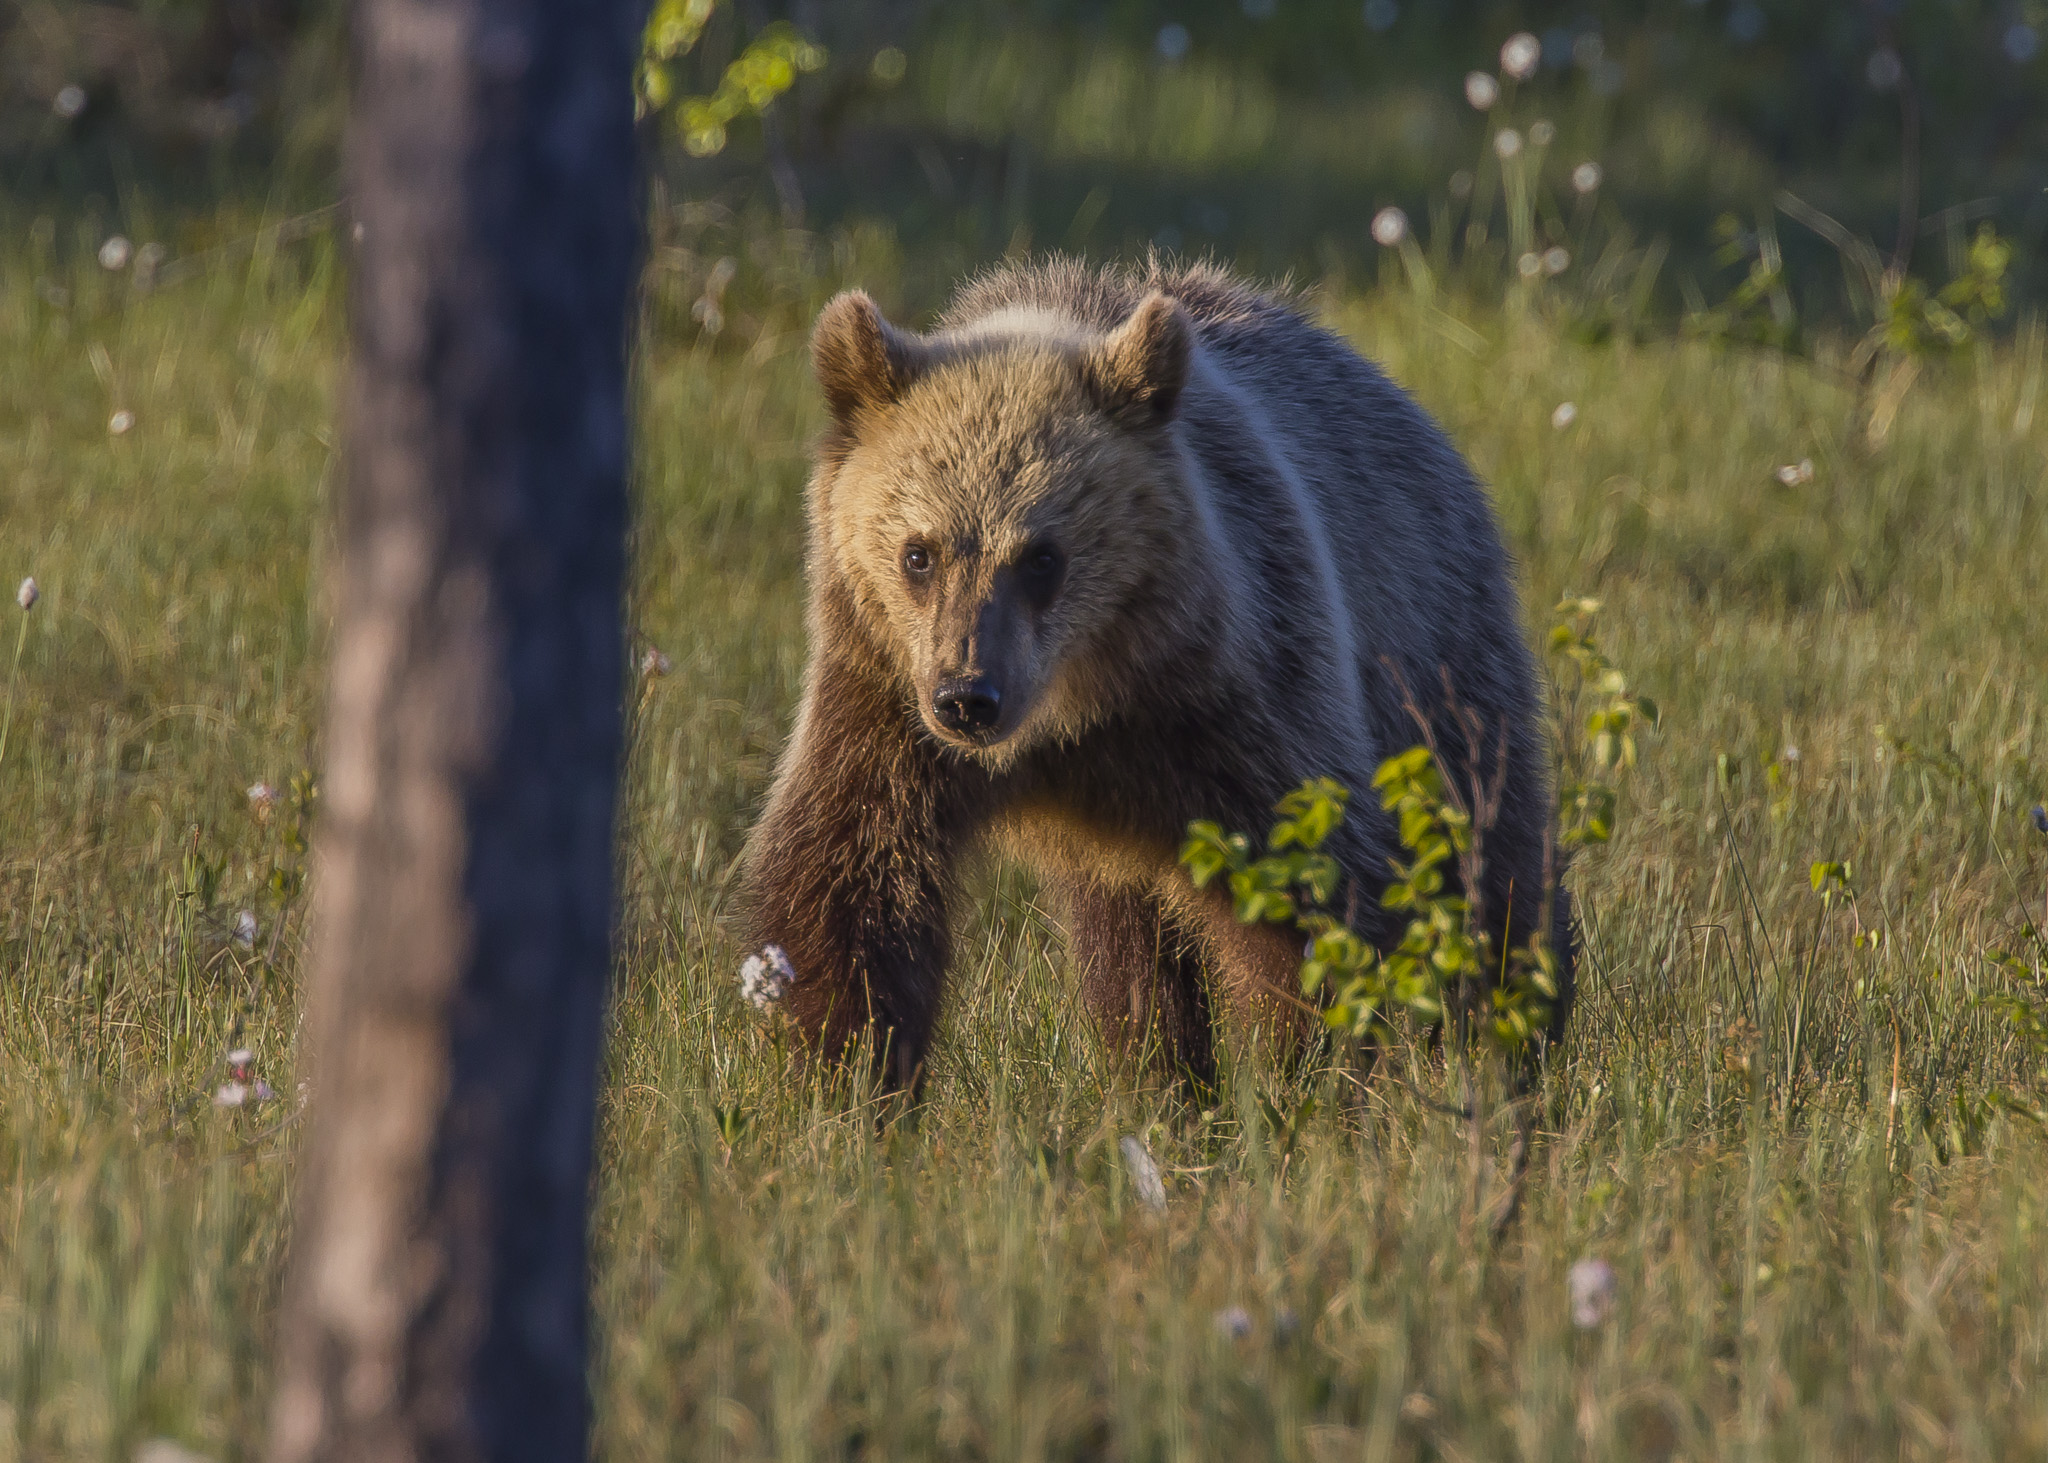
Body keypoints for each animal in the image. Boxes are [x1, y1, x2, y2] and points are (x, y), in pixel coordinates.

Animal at [745, 256, 1556, 1090]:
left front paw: (1295, 1074)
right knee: (1127, 952)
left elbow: (1309, 892)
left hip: (1433, 654)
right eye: (919, 552)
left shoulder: (1234, 695)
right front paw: (846, 1078)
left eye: (1043, 556)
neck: (1078, 710)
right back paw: (1156, 1075)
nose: (968, 698)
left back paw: (1519, 1034)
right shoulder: (884, 701)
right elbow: (847, 886)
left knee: (1485, 850)